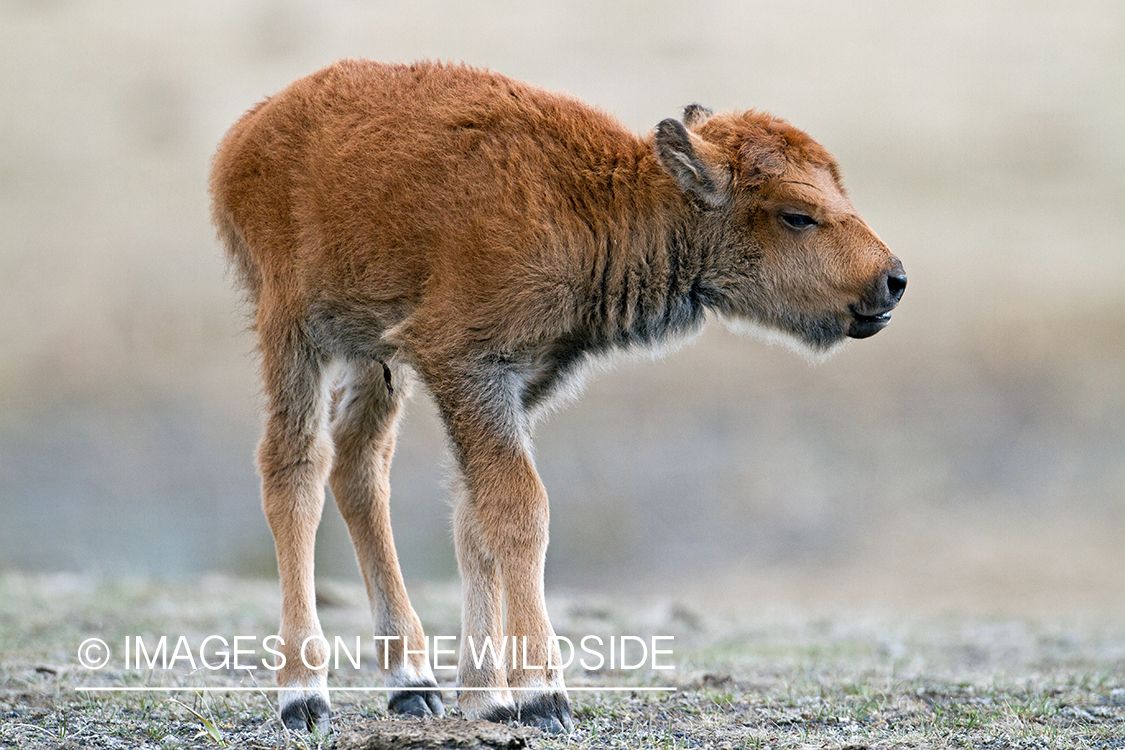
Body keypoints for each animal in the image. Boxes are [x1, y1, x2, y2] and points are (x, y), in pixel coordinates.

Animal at [209, 59, 905, 734]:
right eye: (796, 214)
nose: (893, 280)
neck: (602, 202)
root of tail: (243, 135)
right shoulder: (466, 364)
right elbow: (521, 509)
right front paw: (542, 694)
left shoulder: (516, 384)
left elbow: (474, 515)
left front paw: (487, 699)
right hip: (294, 331)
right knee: (295, 470)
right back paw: (303, 696)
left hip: (373, 355)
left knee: (359, 470)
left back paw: (412, 684)